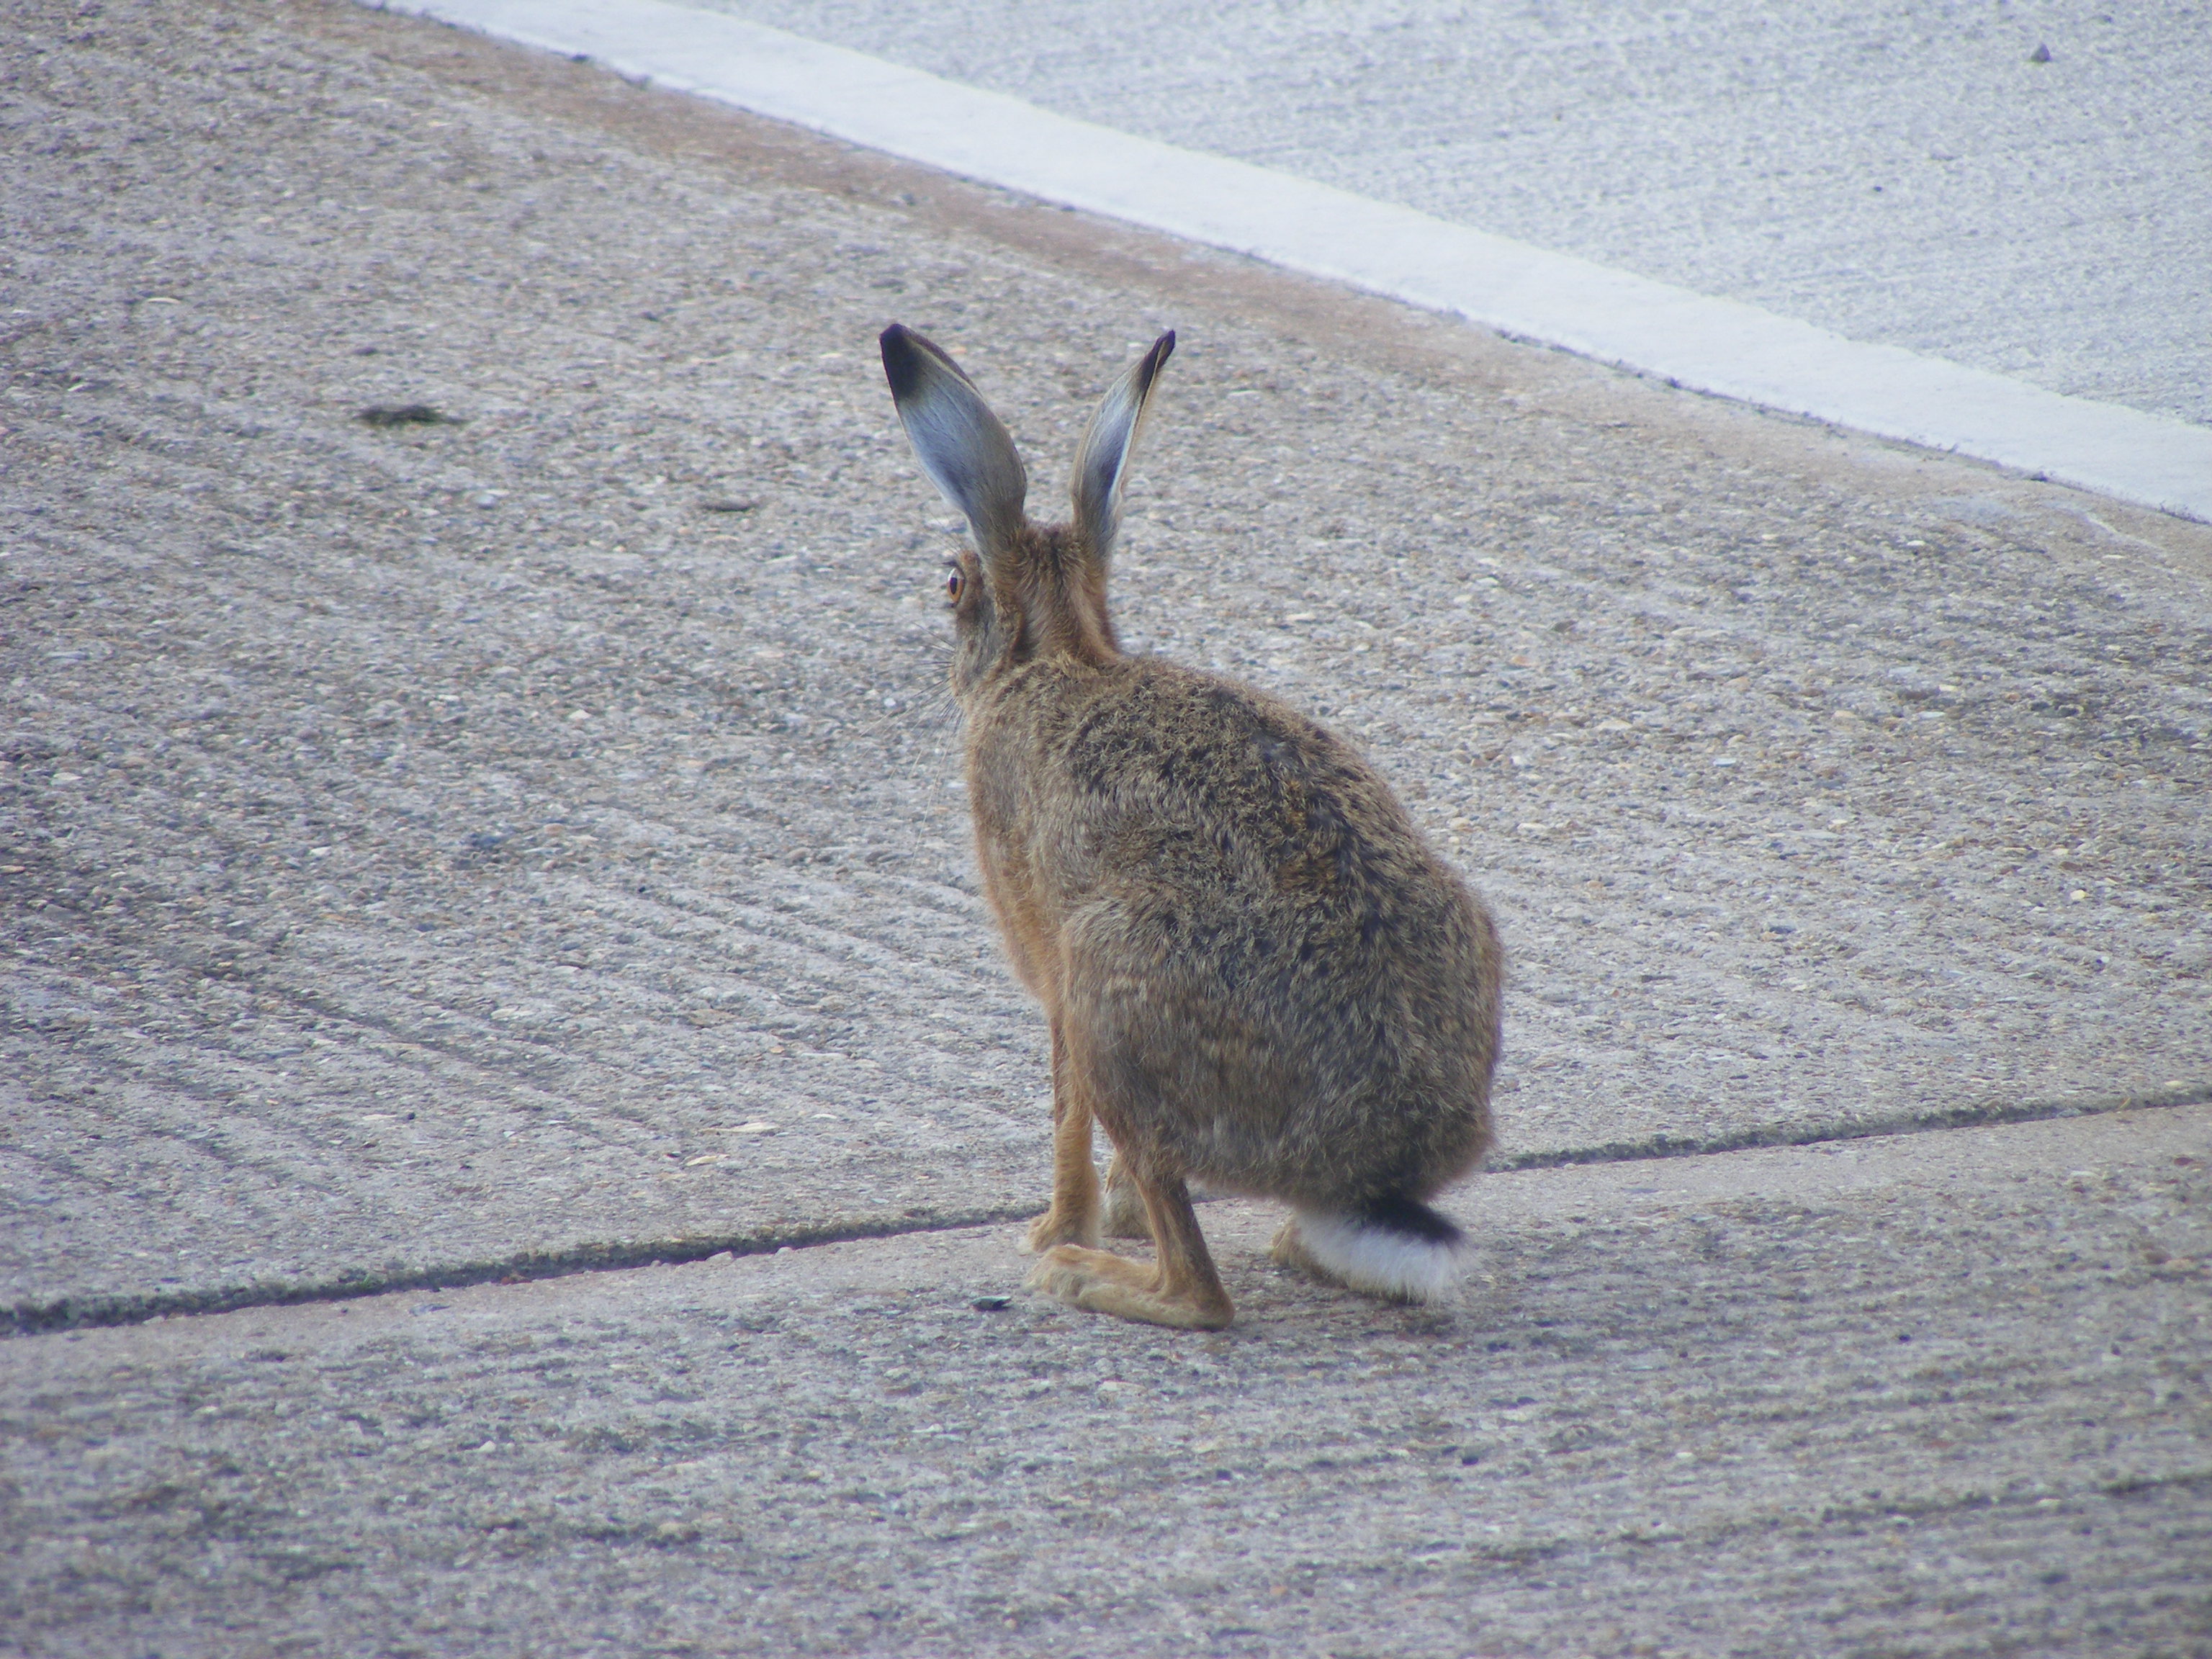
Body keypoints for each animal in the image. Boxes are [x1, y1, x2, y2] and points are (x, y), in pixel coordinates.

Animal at [879, 323, 1503, 1330]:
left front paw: (1056, 1230)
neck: (1061, 655)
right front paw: (1103, 1215)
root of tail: (1374, 1159)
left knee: (1200, 1289)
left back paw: (1086, 1275)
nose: (944, 612)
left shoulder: (1050, 969)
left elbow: (1062, 1110)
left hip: (1109, 982)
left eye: (951, 584)